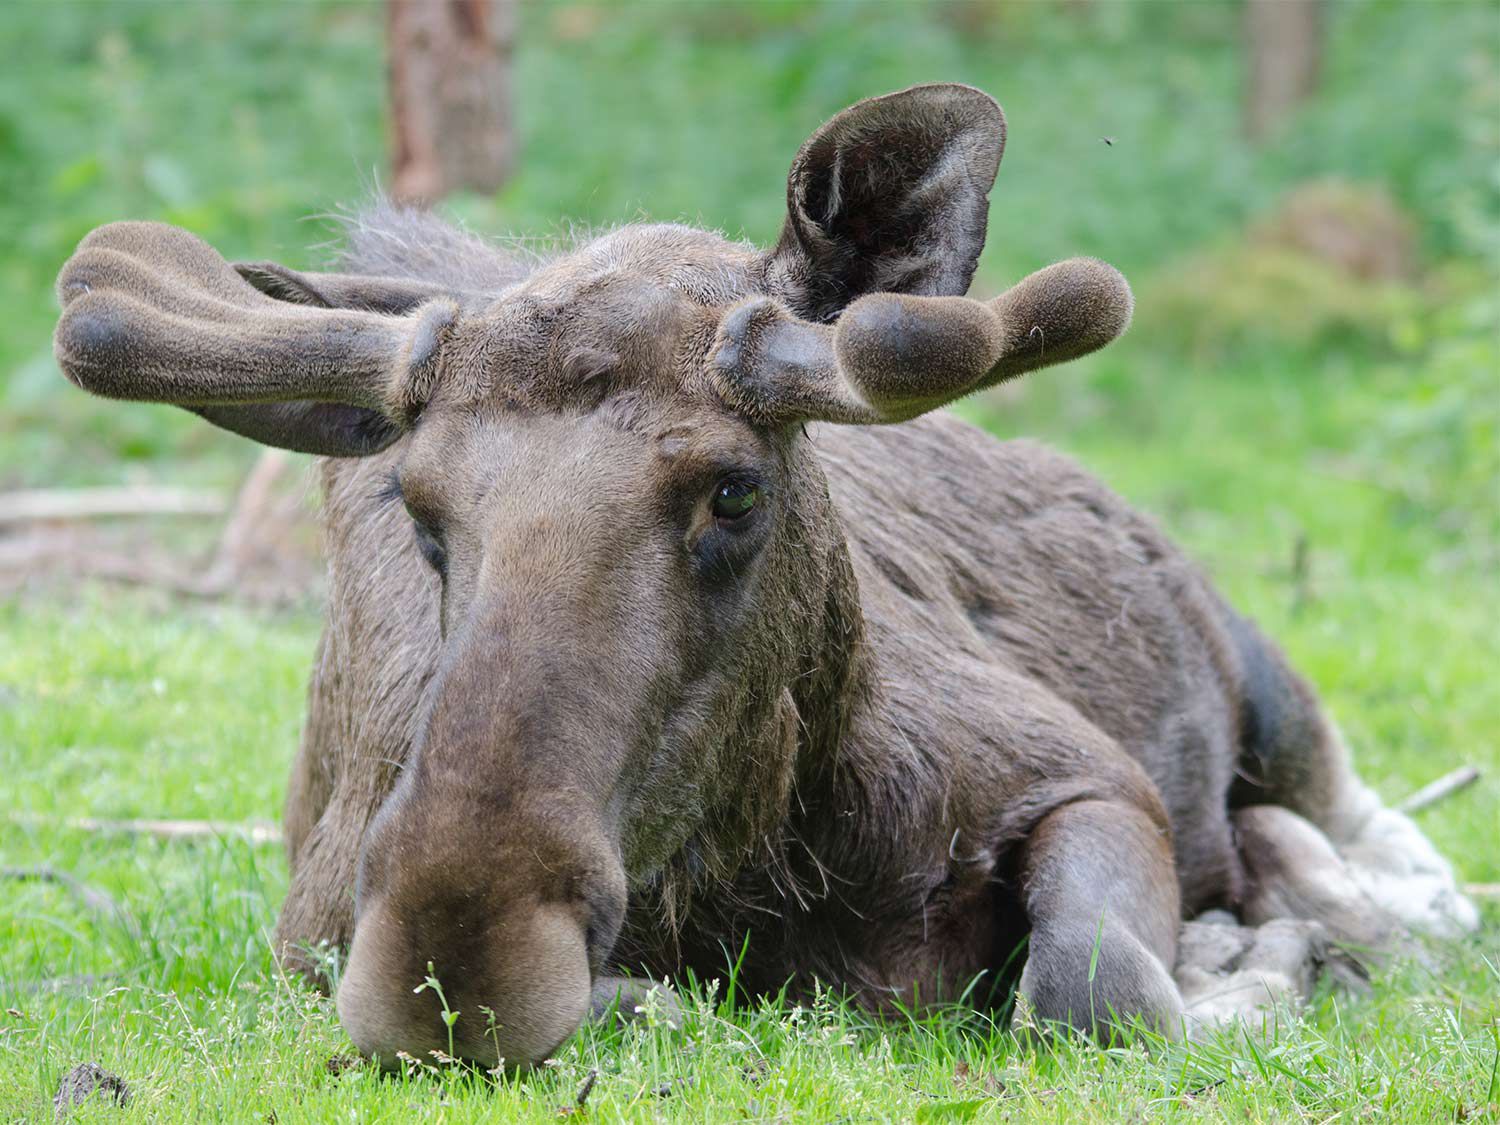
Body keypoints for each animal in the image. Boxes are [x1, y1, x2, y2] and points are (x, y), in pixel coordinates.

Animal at [52, 83, 1470, 1068]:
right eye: (419, 508)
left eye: (735, 490)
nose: (459, 961)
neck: (765, 867)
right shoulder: (315, 940)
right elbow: (654, 1009)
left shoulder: (1087, 771)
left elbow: (1093, 993)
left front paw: (1253, 959)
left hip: (1264, 675)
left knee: (1380, 832)